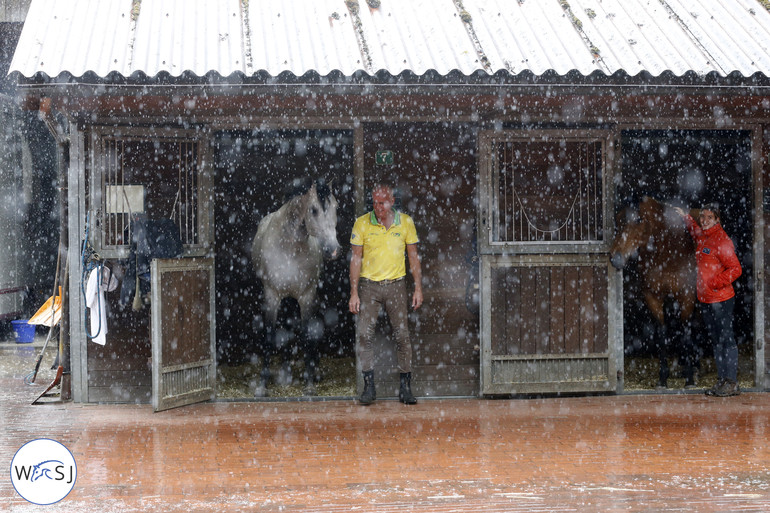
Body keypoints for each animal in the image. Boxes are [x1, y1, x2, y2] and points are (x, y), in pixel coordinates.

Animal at [612, 197, 696, 388]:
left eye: (638, 219)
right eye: (618, 219)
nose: (615, 258)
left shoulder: (687, 297)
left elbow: (686, 333)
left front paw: (689, 378)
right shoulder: (653, 297)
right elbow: (661, 333)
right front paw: (663, 378)